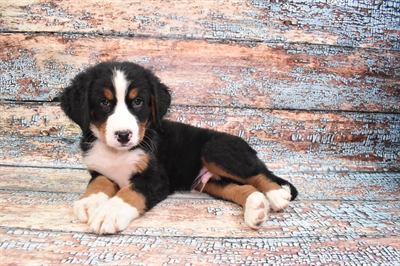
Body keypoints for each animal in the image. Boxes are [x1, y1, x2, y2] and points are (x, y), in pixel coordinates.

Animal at [60, 61, 296, 234]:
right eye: (104, 103)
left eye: (137, 102)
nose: (124, 135)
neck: (117, 153)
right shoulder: (99, 171)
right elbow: (98, 183)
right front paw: (89, 202)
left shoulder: (156, 179)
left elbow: (130, 192)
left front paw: (109, 213)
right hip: (210, 182)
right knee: (244, 188)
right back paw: (256, 209)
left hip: (216, 150)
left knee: (260, 173)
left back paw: (277, 194)